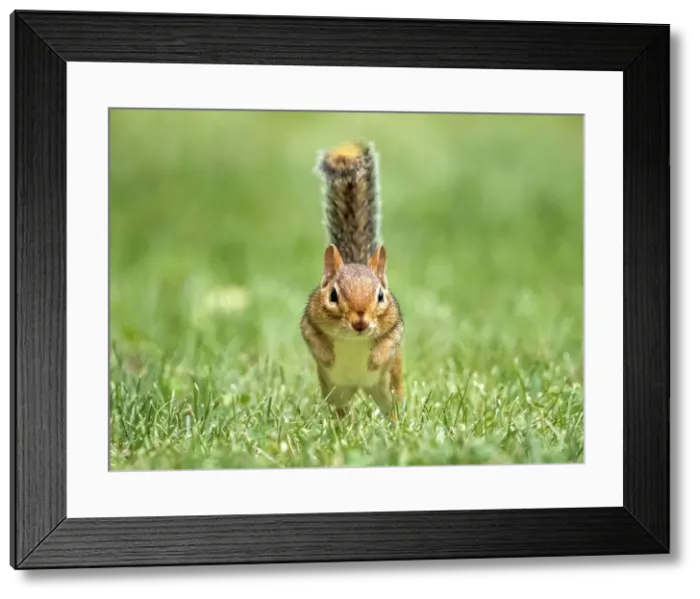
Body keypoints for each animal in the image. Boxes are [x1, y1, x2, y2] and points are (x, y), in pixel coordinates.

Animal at [300, 141, 405, 420]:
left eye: (380, 296)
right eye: (333, 295)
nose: (360, 323)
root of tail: (361, 387)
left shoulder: (396, 326)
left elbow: (388, 341)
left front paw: (374, 359)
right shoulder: (308, 321)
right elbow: (313, 338)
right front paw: (327, 356)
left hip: (388, 386)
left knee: (391, 406)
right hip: (336, 391)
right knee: (341, 409)